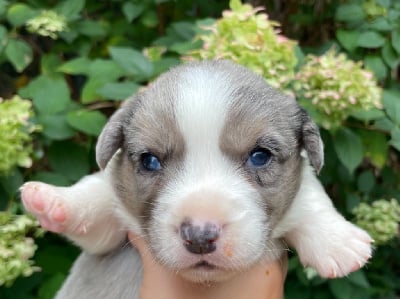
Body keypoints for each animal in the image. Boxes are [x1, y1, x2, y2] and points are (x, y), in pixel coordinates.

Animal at [21, 59, 372, 298]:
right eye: (150, 160)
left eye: (260, 156)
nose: (200, 236)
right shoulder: (109, 235)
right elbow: (100, 193)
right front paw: (54, 200)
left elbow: (309, 194)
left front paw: (338, 241)